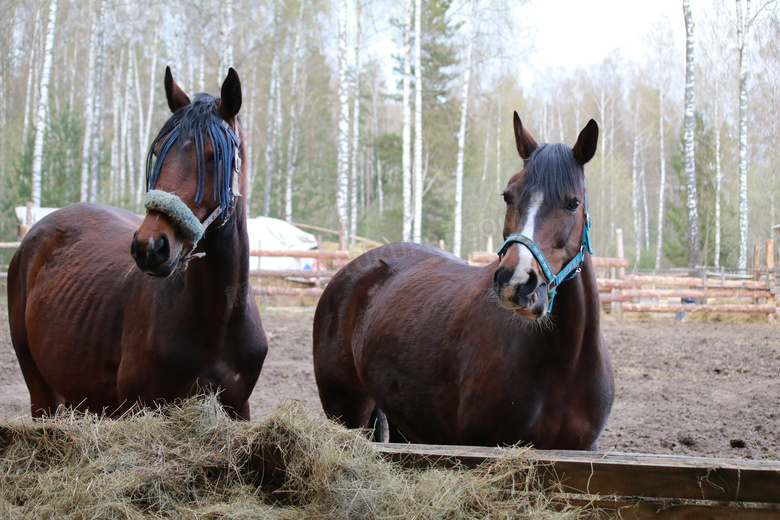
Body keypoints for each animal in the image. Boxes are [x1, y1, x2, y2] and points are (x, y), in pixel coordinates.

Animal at [6, 67, 270, 420]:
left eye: (214, 156)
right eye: (158, 151)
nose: (151, 247)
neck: (217, 321)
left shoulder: (239, 409)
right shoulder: (140, 407)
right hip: (42, 395)